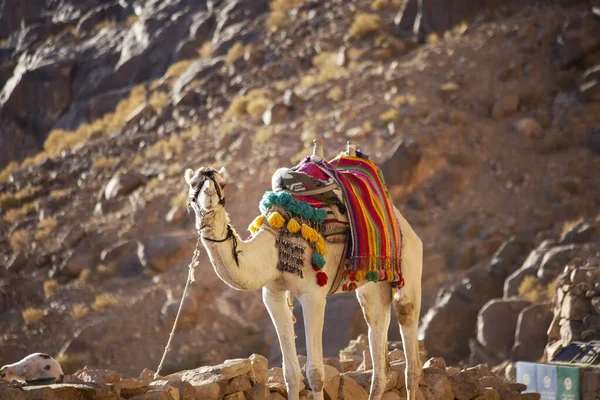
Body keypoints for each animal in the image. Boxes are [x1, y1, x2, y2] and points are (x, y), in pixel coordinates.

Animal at [185, 145, 424, 398]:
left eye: (222, 183)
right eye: (193, 183)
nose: (208, 194)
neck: (274, 243)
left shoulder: (313, 294)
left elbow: (315, 374)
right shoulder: (273, 294)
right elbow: (290, 373)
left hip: (409, 259)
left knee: (408, 331)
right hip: (372, 285)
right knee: (377, 340)